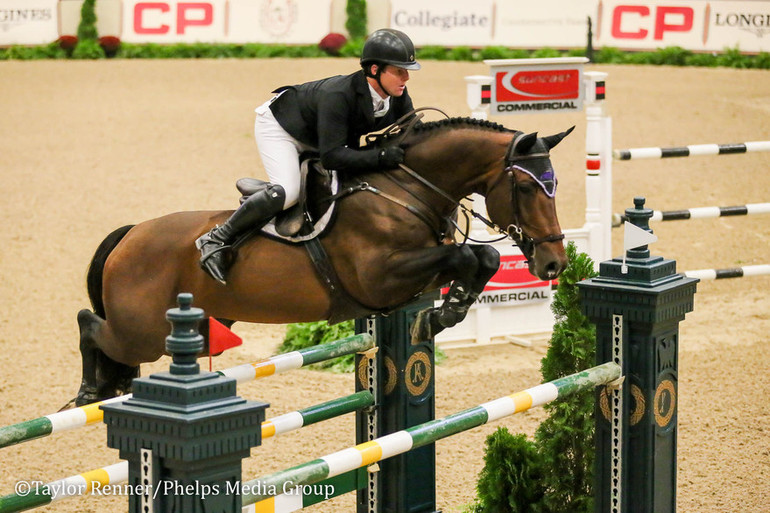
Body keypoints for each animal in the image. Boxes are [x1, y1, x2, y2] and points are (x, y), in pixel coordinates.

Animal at [72, 118, 568, 406]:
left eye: (554, 186)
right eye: (527, 188)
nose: (554, 264)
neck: (407, 190)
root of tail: (130, 235)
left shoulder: (417, 273)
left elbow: (481, 256)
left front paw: (445, 312)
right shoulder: (379, 278)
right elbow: (467, 253)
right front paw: (443, 315)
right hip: (141, 333)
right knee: (89, 325)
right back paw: (89, 391)